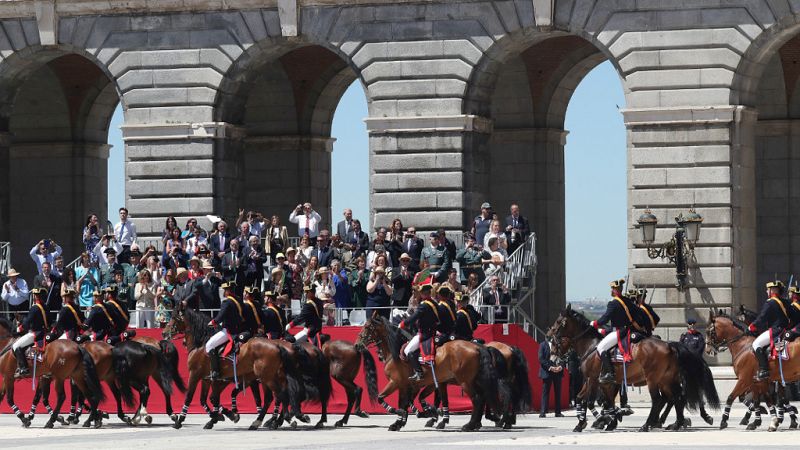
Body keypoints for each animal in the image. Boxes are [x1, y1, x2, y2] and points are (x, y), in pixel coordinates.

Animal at [356, 314, 506, 430]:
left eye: (367, 327)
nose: (357, 344)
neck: (396, 353)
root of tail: (477, 347)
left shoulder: (397, 383)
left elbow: (383, 398)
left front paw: (402, 416)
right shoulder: (415, 385)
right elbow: (409, 402)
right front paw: (403, 421)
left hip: (465, 382)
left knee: (477, 399)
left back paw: (470, 425)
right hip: (474, 381)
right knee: (483, 397)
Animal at [552, 306, 720, 432]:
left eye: (559, 322)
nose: (550, 337)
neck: (591, 346)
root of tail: (670, 345)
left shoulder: (593, 379)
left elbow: (592, 402)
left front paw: (603, 420)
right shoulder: (601, 382)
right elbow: (589, 400)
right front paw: (587, 423)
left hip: (654, 379)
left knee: (660, 399)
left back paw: (648, 424)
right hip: (666, 379)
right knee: (677, 397)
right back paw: (676, 423)